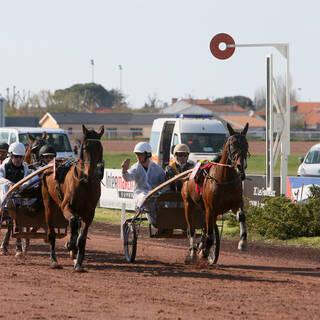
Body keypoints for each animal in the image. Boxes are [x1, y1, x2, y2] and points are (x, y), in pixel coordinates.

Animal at [41, 124, 104, 272]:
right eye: (85, 147)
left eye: (99, 148)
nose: (89, 173)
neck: (85, 183)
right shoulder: (66, 206)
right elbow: (74, 221)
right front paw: (70, 245)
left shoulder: (89, 213)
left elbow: (82, 238)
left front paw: (78, 262)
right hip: (48, 204)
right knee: (52, 233)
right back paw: (54, 260)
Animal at [181, 122, 249, 262]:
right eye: (233, 144)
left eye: (246, 144)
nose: (241, 165)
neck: (224, 179)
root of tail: (188, 174)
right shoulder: (210, 209)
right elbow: (209, 233)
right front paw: (204, 251)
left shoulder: (236, 204)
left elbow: (241, 216)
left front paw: (242, 242)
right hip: (188, 204)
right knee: (192, 230)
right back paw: (193, 252)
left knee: (205, 228)